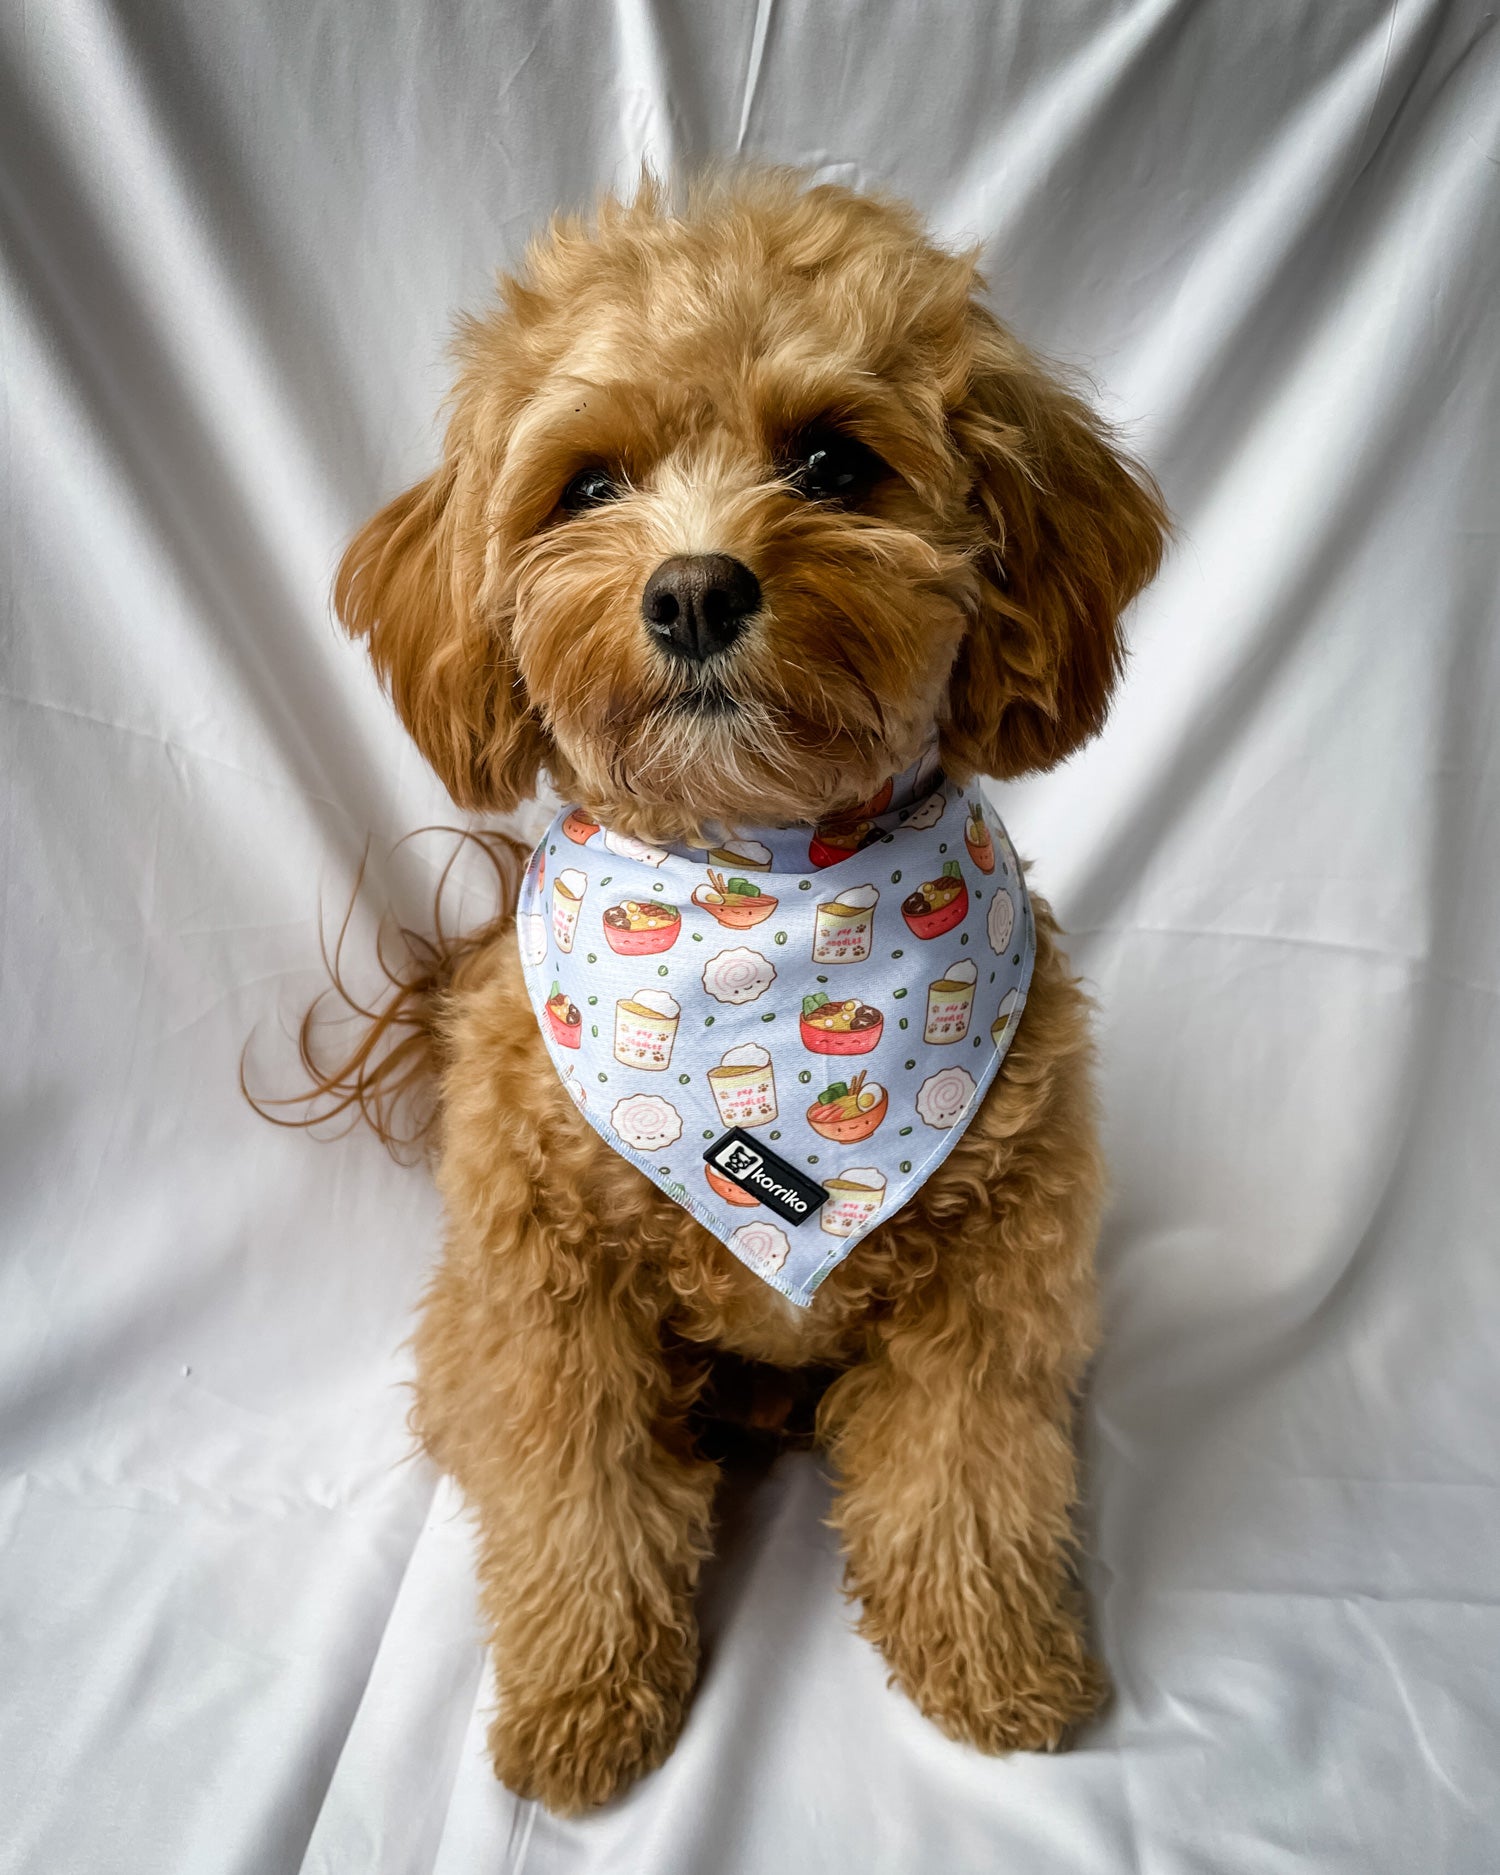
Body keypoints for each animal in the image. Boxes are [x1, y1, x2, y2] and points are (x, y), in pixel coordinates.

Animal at [324, 168, 1170, 1807]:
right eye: (588, 485)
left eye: (833, 460)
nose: (697, 591)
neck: (761, 895)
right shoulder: (552, 1299)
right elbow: (579, 1503)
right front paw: (584, 1705)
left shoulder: (991, 1282)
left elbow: (964, 1479)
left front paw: (993, 1666)